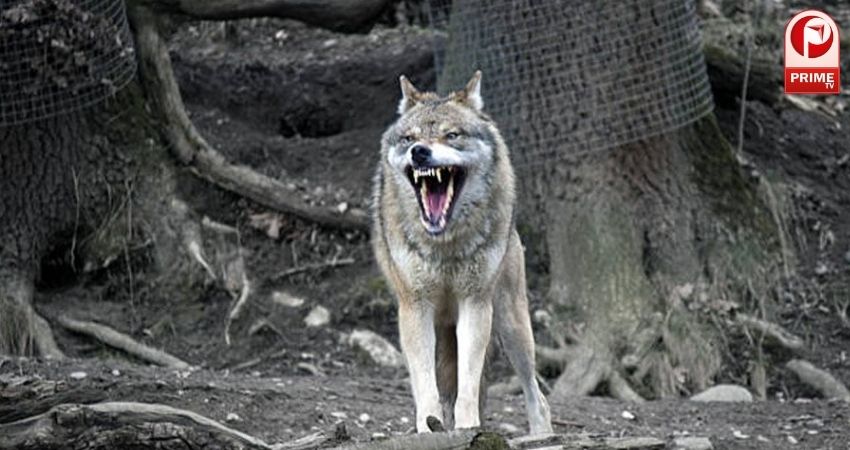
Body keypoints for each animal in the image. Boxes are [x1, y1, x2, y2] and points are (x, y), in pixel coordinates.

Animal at [371, 71, 553, 435]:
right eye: (409, 138)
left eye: (451, 135)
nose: (419, 152)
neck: (444, 244)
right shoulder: (415, 307)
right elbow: (425, 384)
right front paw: (430, 429)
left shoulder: (475, 302)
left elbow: (469, 381)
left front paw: (469, 427)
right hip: (445, 331)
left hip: (511, 324)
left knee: (537, 397)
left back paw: (542, 436)